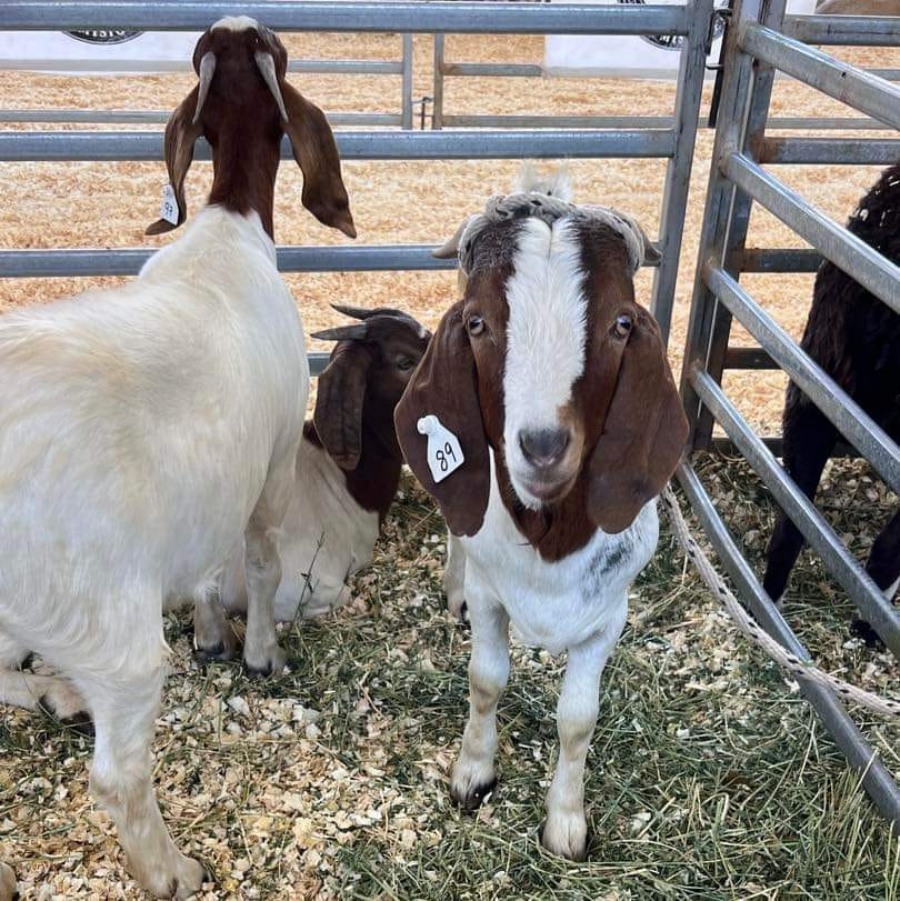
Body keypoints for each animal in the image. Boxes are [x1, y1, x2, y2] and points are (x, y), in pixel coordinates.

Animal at [0, 17, 354, 898]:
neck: (227, 229)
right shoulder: (270, 465)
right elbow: (258, 561)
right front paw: (259, 652)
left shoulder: (217, 484)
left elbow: (210, 566)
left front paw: (209, 631)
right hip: (107, 628)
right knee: (117, 774)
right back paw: (173, 870)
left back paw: (55, 697)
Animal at [395, 169, 688, 860]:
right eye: (477, 322)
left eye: (620, 324)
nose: (544, 446)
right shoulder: (492, 595)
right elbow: (486, 679)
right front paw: (472, 774)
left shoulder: (609, 617)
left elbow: (578, 719)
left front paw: (566, 822)